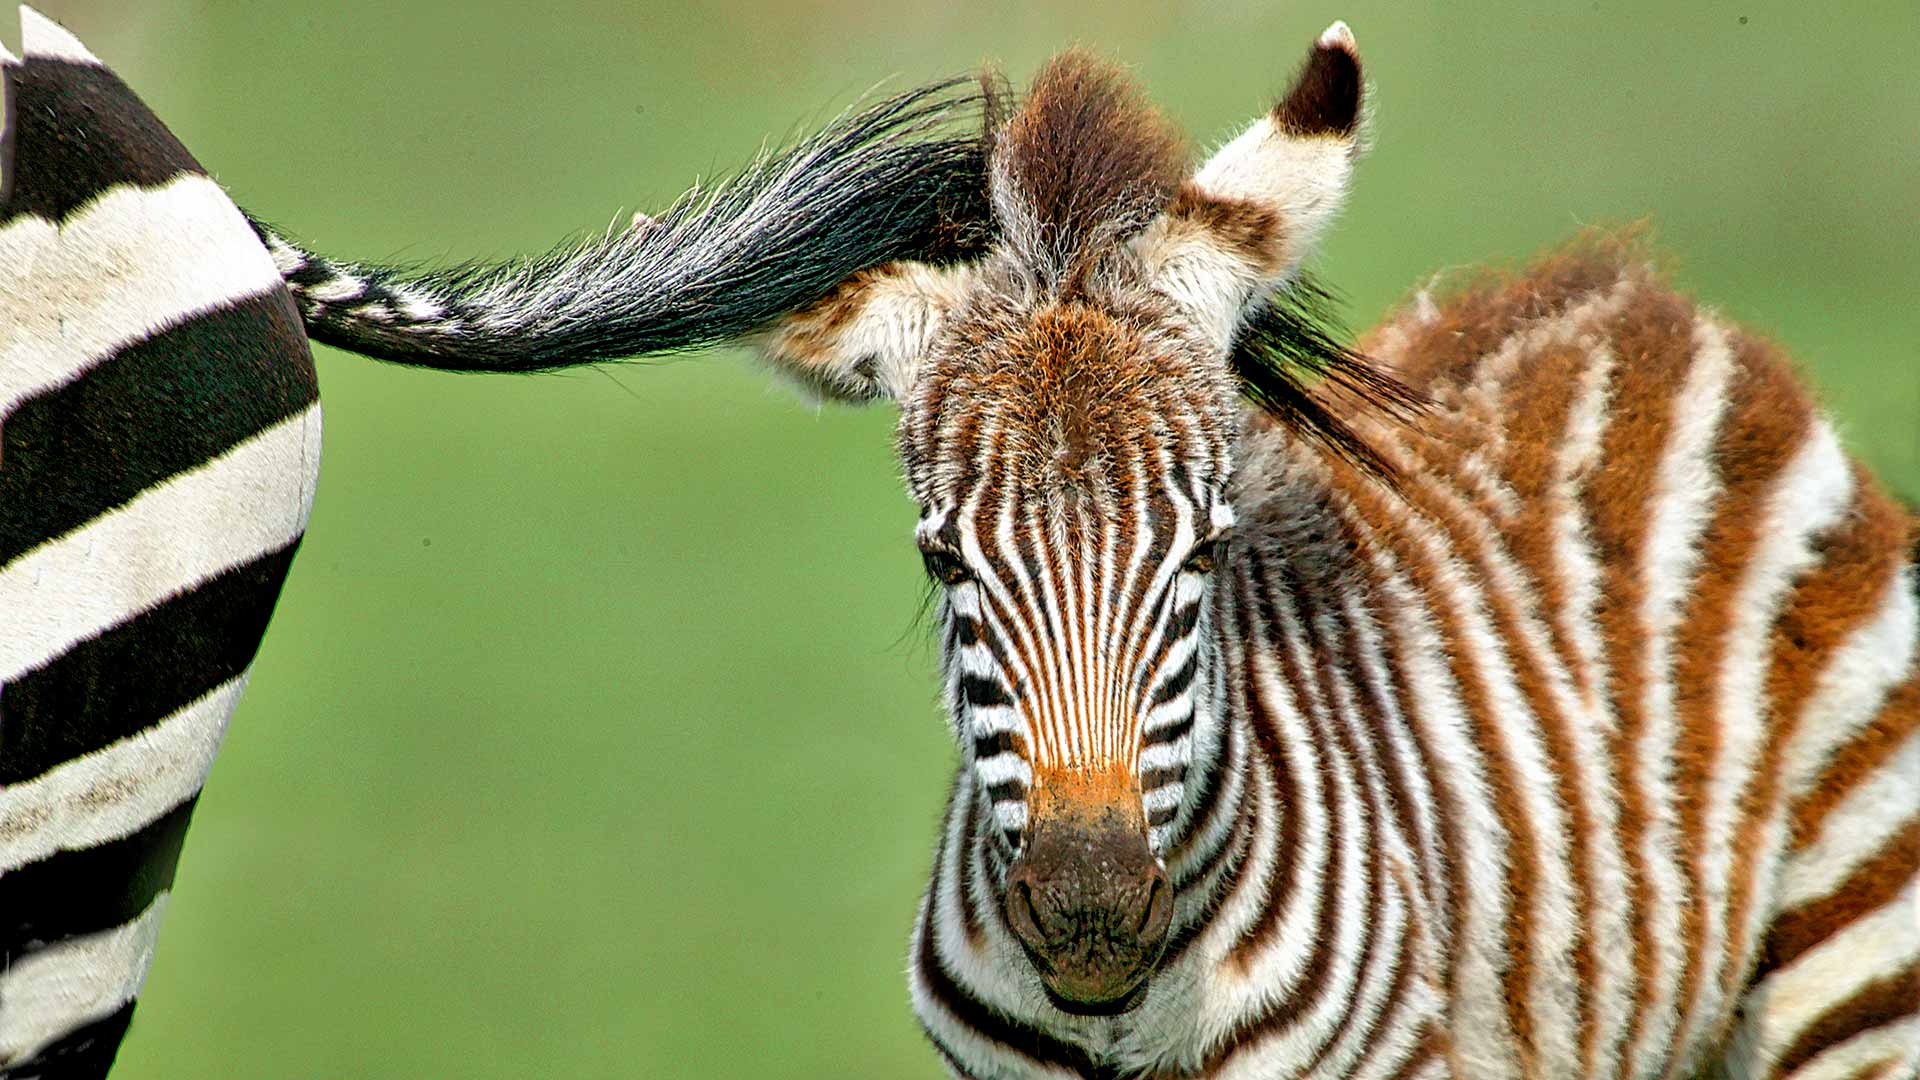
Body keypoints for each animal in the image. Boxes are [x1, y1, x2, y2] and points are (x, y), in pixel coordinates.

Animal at [8, 10, 1917, 1080]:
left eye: (1205, 555)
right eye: (944, 566)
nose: (1086, 910)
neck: (1115, 1022)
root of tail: (1640, 303)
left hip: (1847, 976)